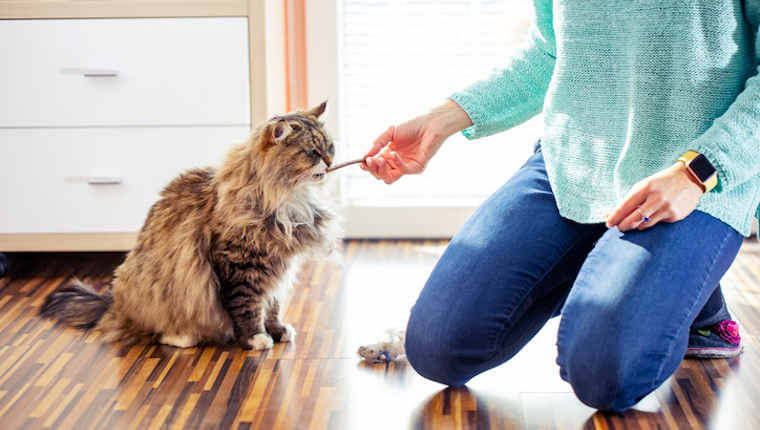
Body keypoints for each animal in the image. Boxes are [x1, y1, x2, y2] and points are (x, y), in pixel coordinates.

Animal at [38, 102, 342, 352]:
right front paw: (255, 339)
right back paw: (182, 337)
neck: (288, 198)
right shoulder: (240, 265)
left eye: (330, 147)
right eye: (311, 152)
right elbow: (247, 306)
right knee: (149, 333)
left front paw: (277, 331)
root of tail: (113, 305)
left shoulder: (278, 264)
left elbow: (273, 304)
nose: (330, 162)